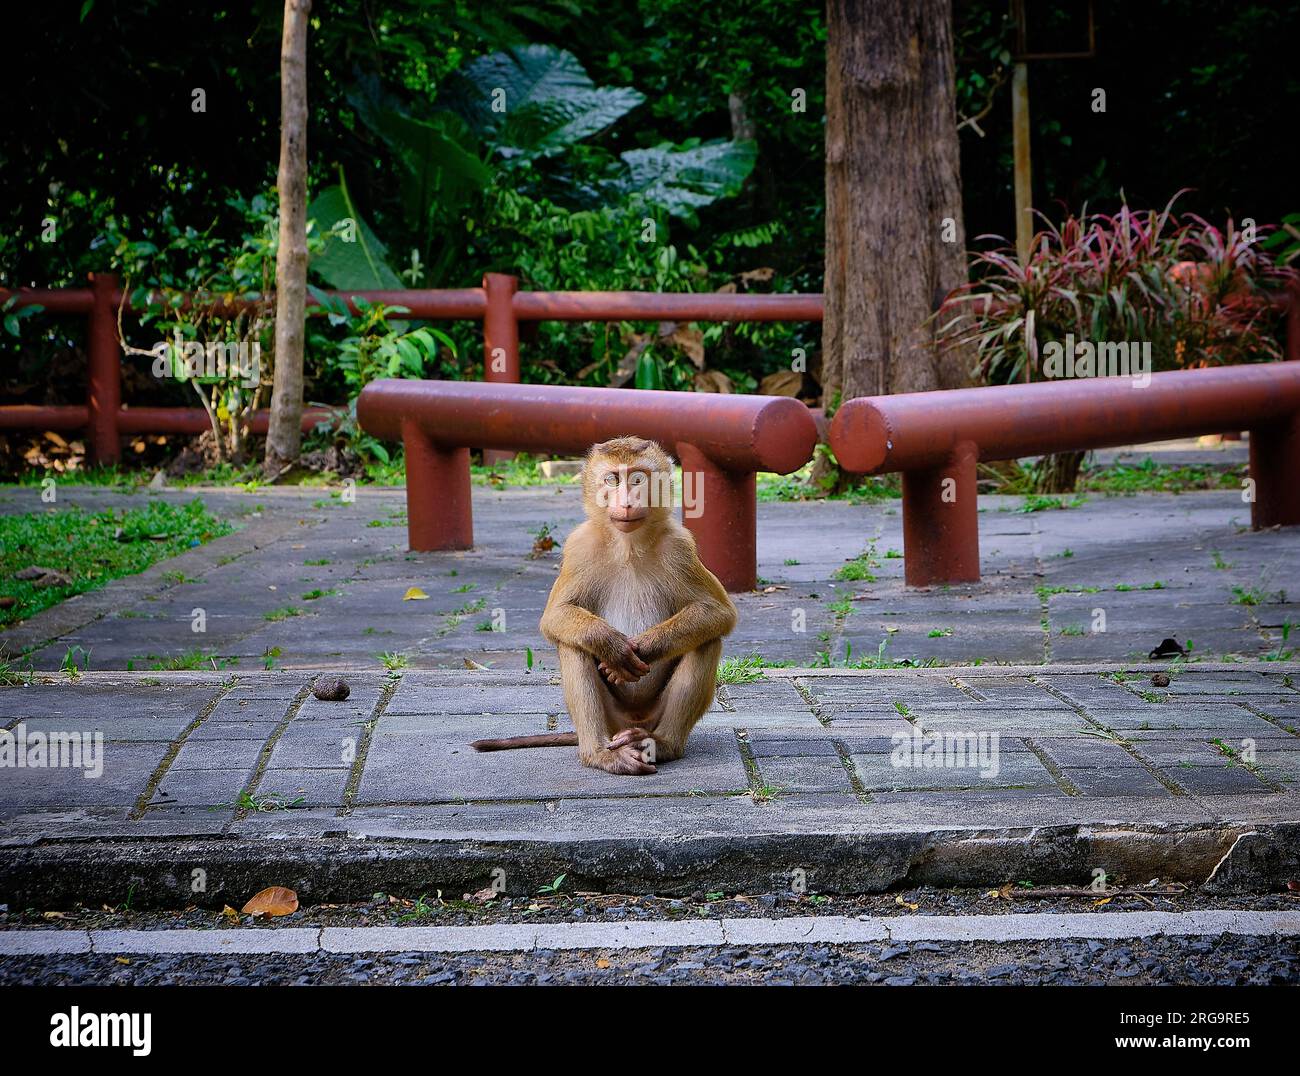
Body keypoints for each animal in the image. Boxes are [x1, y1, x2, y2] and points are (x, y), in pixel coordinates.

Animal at [473, 434, 738, 774]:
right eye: (612, 479)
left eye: (637, 479)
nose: (626, 502)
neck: (628, 545)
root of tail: (631, 723)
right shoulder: (579, 546)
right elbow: (556, 616)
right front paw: (611, 646)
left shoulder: (680, 546)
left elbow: (717, 612)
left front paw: (645, 648)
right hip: (613, 720)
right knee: (573, 645)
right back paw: (599, 753)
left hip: (650, 716)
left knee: (706, 640)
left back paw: (661, 744)